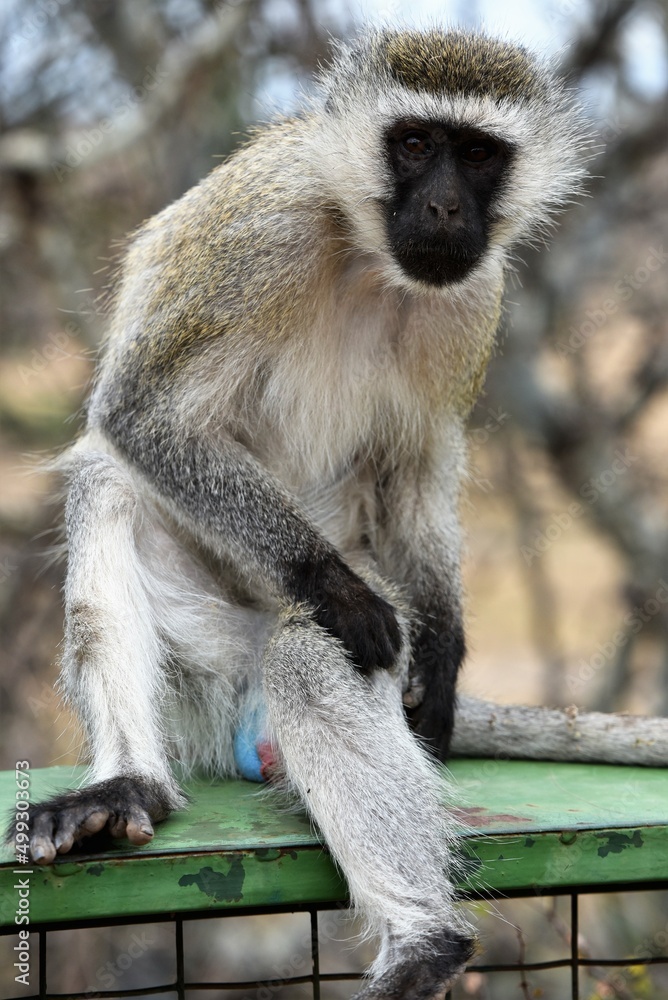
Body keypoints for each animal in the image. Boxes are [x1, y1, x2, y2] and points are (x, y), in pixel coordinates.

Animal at [9, 27, 589, 999]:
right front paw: (339, 589)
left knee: (307, 660)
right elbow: (141, 414)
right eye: (414, 144)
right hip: (206, 654)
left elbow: (419, 465)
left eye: (477, 154)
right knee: (114, 489)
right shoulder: (260, 234)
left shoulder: (475, 297)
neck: (365, 254)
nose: (442, 207)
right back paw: (129, 788)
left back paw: (425, 943)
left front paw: (442, 646)